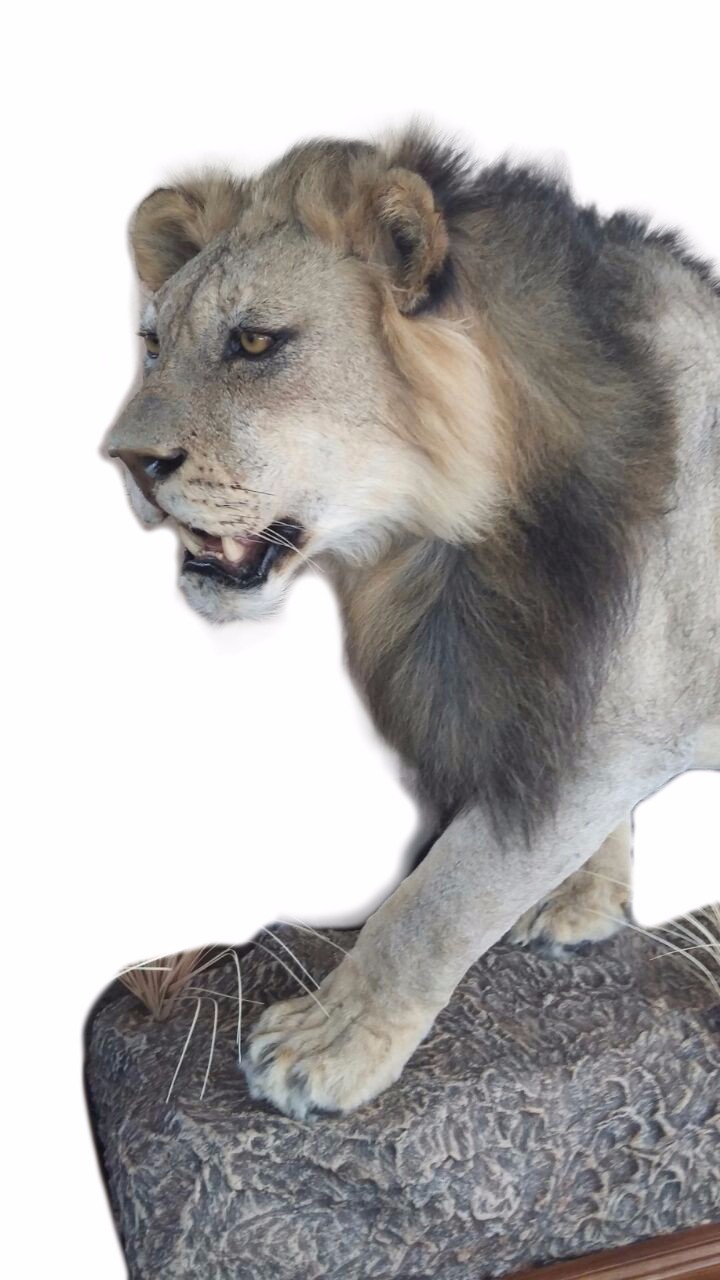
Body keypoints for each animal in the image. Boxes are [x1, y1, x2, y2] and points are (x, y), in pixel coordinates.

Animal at [107, 127, 720, 1119]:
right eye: (153, 344)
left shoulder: (609, 734)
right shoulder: (548, 695)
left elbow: (437, 901)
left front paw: (325, 1049)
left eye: (254, 342)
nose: (123, 460)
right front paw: (582, 903)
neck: (444, 545)